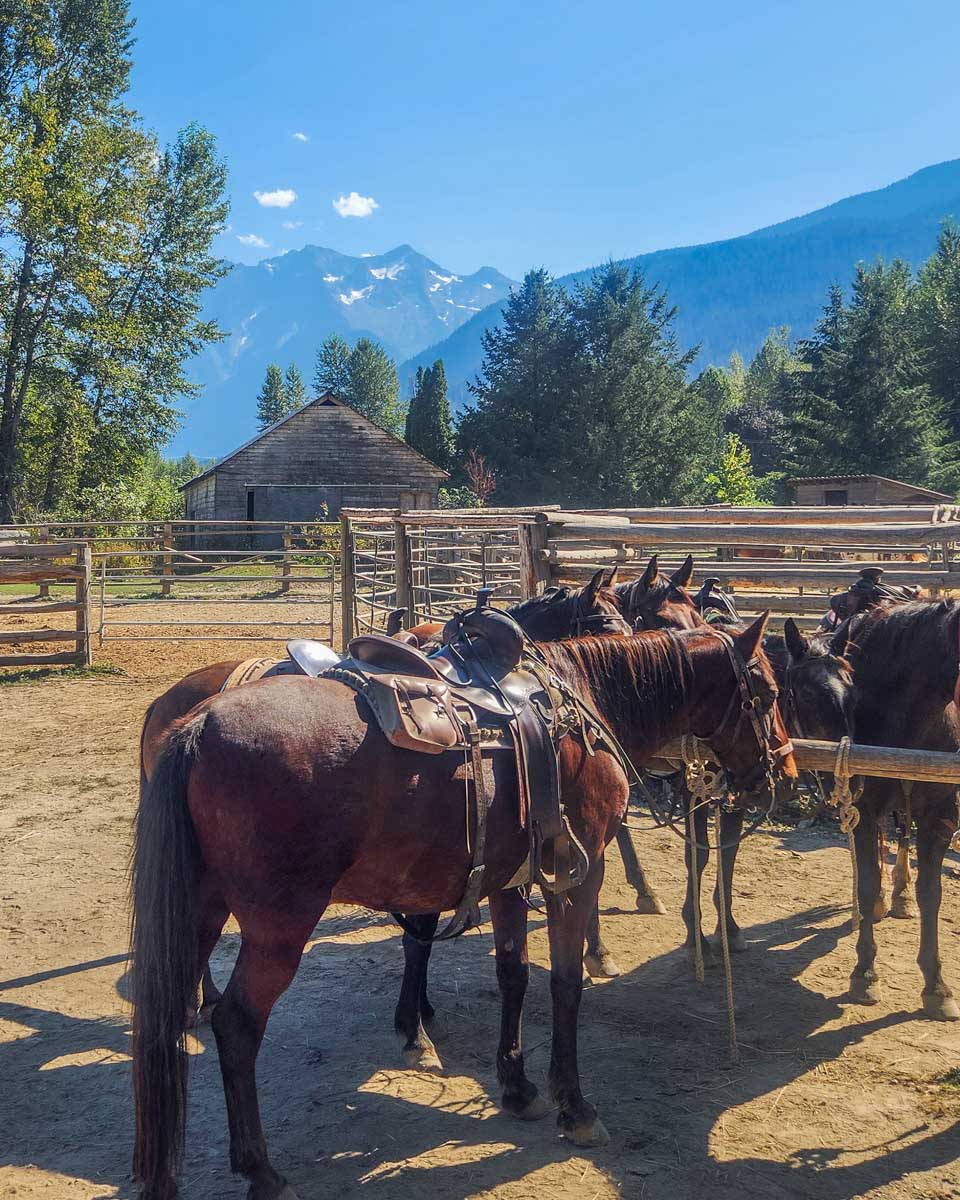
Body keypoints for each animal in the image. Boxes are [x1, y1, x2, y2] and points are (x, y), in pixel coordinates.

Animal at [131, 618, 796, 1200]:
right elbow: (565, 984)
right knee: (238, 1026)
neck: (579, 708)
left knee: (166, 1016)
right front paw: (574, 1105)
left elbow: (513, 974)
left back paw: (165, 1171)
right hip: (279, 927)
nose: (781, 772)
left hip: (200, 912)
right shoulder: (576, 878)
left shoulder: (508, 881)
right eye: (766, 693)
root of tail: (196, 727)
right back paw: (263, 1172)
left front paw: (518, 1084)